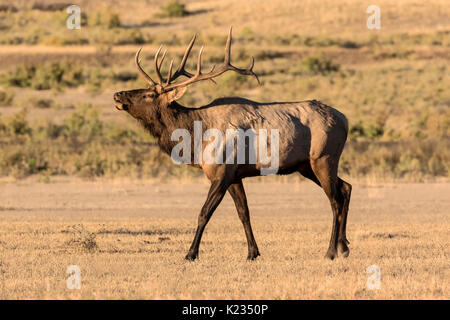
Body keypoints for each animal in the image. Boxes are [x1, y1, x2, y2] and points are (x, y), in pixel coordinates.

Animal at [112, 27, 352, 262]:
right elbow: (243, 213)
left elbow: (204, 213)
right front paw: (253, 252)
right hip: (306, 166)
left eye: (149, 94)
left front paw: (191, 253)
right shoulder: (235, 175)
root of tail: (345, 120)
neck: (196, 140)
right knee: (345, 187)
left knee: (335, 199)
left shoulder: (222, 171)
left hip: (323, 158)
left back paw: (331, 251)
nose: (117, 94)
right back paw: (344, 247)